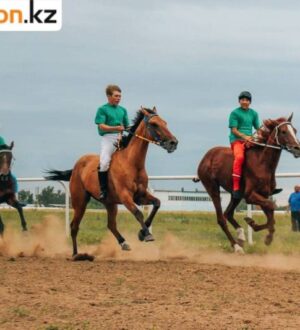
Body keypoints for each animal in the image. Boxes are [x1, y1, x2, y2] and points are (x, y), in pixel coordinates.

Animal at [46, 107, 178, 260]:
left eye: (165, 123)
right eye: (154, 124)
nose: (173, 142)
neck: (132, 163)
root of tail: (76, 166)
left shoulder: (140, 195)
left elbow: (157, 203)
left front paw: (141, 233)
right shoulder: (125, 196)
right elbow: (138, 213)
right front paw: (147, 234)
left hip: (110, 203)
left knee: (111, 224)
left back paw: (123, 243)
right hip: (80, 201)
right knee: (74, 226)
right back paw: (76, 254)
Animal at [195, 113, 300, 253]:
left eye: (295, 131)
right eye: (283, 131)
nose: (297, 148)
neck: (262, 164)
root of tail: (206, 157)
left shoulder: (263, 194)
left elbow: (270, 213)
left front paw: (266, 235)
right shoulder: (250, 195)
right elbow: (272, 206)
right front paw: (254, 224)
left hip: (236, 194)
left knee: (228, 213)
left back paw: (241, 235)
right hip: (212, 187)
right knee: (221, 218)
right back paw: (236, 246)